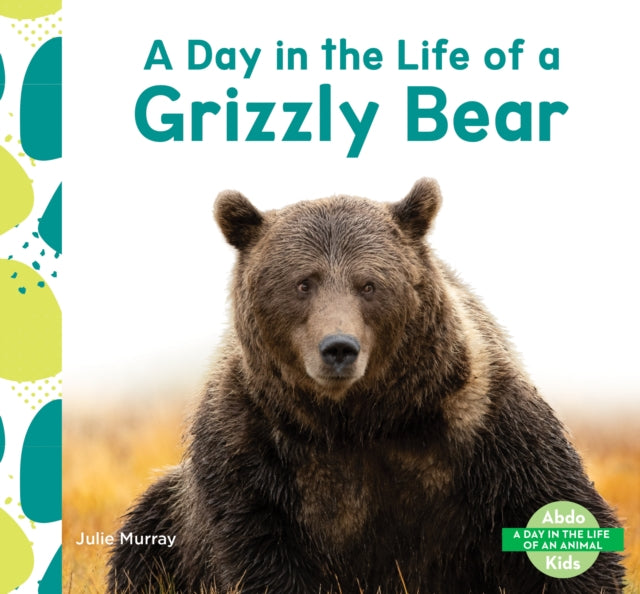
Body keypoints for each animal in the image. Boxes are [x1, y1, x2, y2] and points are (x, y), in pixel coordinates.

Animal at [107, 178, 625, 593]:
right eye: (303, 283)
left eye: (368, 284)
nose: (339, 347)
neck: (359, 420)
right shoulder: (248, 443)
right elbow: (257, 550)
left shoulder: (483, 422)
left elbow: (551, 515)